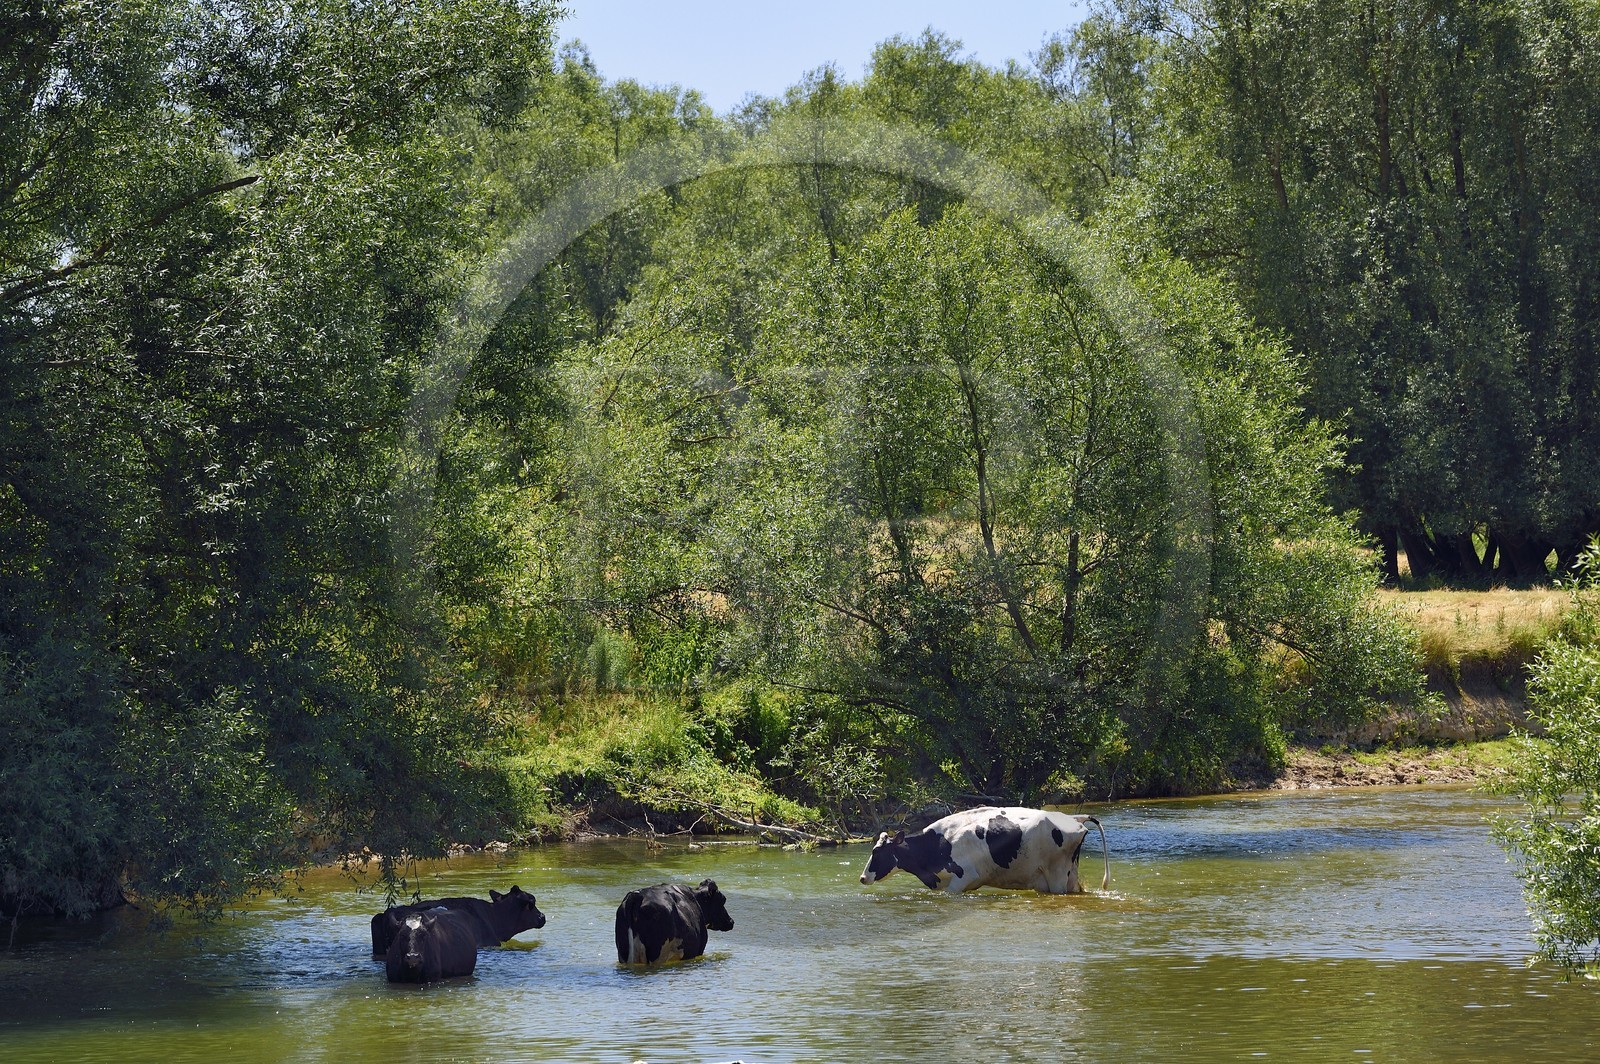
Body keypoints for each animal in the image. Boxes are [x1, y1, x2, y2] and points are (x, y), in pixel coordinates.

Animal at [858, 806, 1109, 895]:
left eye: (877, 853)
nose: (862, 878)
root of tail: (1074, 818)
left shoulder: (962, 878)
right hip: (1069, 876)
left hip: (1057, 876)